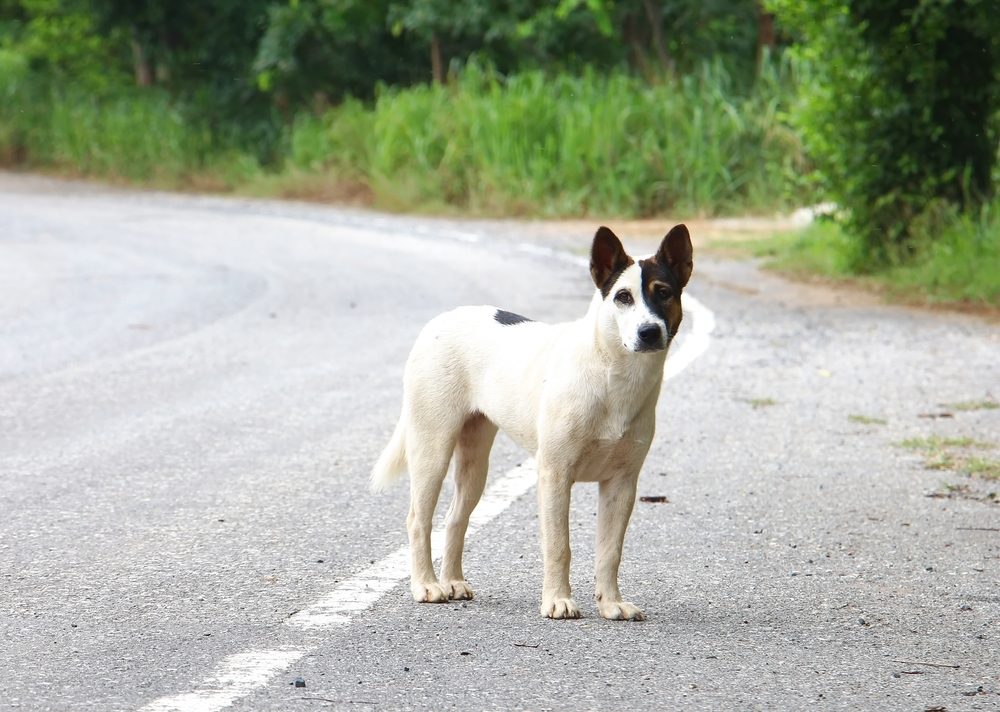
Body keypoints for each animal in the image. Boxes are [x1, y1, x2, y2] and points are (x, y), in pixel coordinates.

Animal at [372, 225, 692, 620]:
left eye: (663, 293)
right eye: (623, 297)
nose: (649, 332)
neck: (611, 374)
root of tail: (439, 321)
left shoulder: (622, 485)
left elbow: (610, 552)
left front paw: (611, 604)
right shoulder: (555, 474)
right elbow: (559, 545)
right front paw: (558, 600)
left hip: (475, 465)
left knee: (455, 518)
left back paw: (453, 581)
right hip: (431, 448)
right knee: (418, 519)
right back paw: (427, 585)